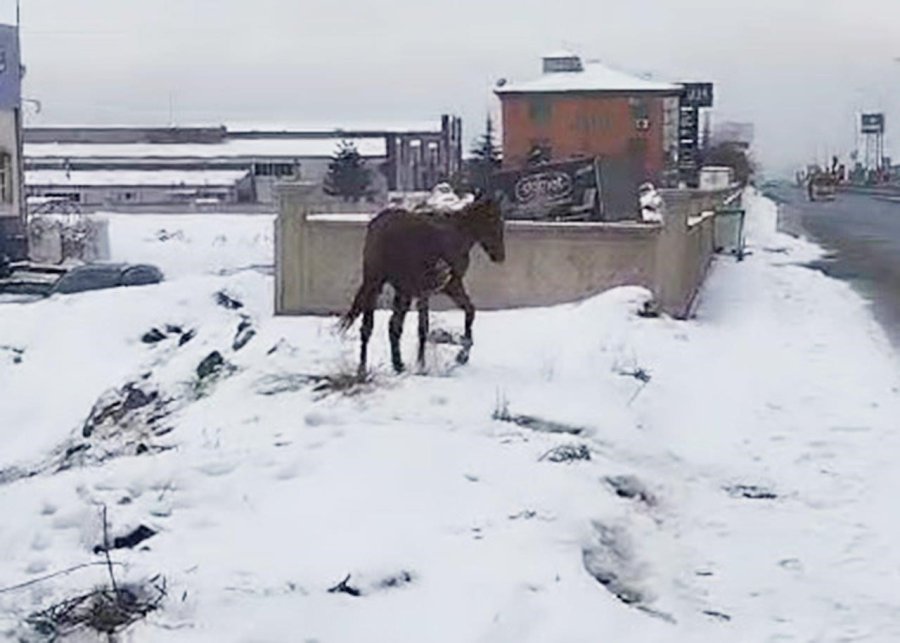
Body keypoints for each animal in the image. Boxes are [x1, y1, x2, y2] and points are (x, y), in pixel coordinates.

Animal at [340, 196, 502, 378]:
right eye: (494, 220)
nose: (500, 255)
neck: (458, 234)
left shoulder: (422, 290)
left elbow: (466, 311)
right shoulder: (445, 286)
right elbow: (427, 326)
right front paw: (432, 362)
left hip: (386, 287)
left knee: (382, 326)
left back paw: (389, 366)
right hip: (379, 285)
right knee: (373, 327)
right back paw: (369, 368)